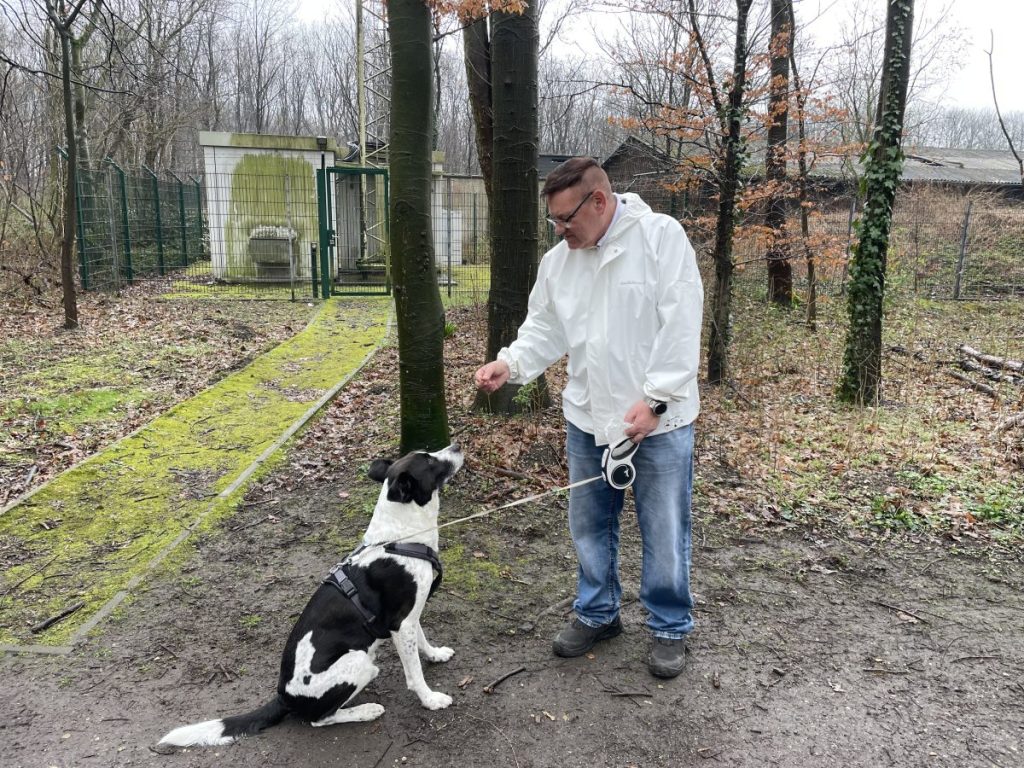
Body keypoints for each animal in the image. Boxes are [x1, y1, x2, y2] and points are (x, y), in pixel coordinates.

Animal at [155, 444, 464, 753]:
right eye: (429, 460)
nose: (457, 446)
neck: (399, 539)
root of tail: (284, 697)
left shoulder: (409, 618)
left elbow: (422, 641)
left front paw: (435, 654)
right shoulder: (401, 624)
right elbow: (415, 674)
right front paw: (430, 699)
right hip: (358, 662)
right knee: (320, 719)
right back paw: (366, 711)